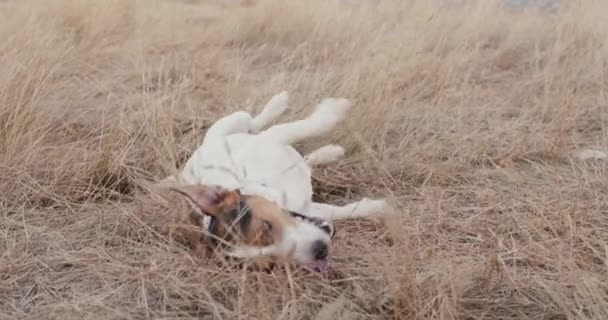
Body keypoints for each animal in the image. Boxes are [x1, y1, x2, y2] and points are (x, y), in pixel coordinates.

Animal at [153, 91, 390, 272]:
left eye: (267, 225)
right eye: (272, 263)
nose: (320, 251)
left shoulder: (275, 138)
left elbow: (309, 125)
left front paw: (335, 109)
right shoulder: (309, 208)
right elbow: (342, 211)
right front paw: (378, 207)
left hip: (235, 120)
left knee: (254, 122)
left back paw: (278, 105)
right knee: (304, 158)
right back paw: (327, 153)